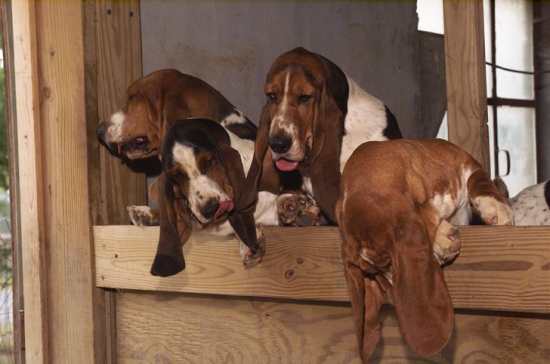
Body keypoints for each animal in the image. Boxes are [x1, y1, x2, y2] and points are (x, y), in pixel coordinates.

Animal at [338, 139, 516, 362]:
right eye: (371, 273)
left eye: (388, 262)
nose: (393, 290)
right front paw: (441, 239)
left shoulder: (467, 164)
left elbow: (479, 180)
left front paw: (495, 207)